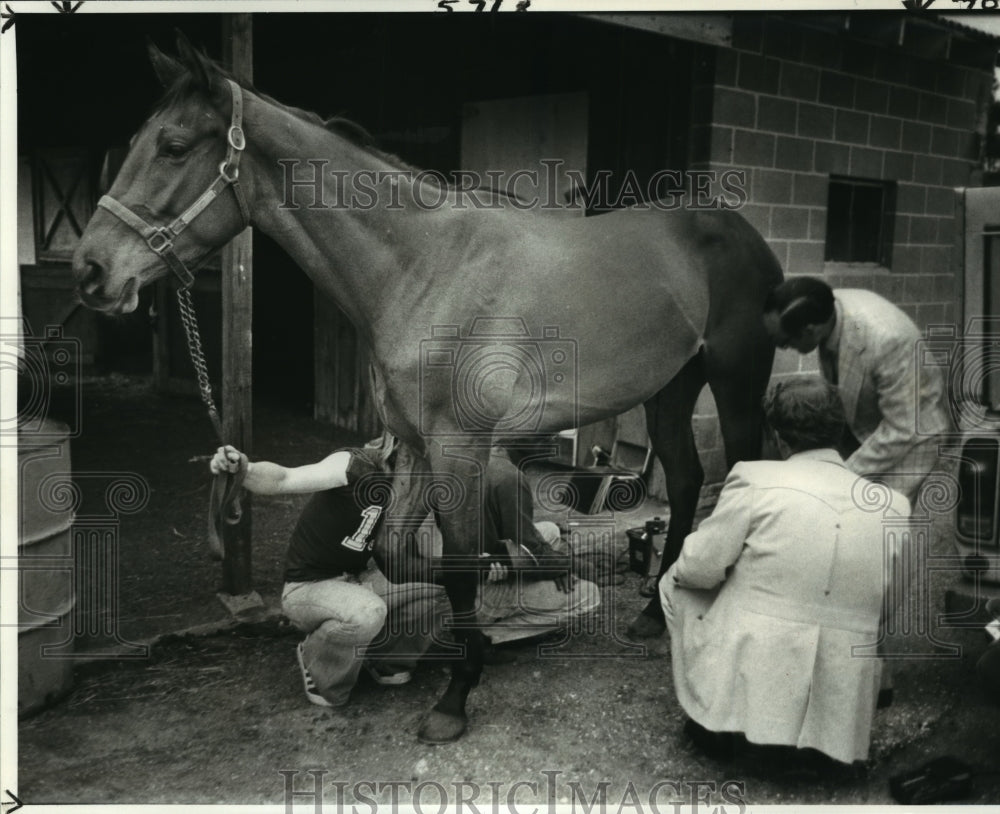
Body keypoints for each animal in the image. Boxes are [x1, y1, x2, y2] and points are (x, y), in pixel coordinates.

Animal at [74, 36, 784, 744]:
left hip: (736, 380)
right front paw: (503, 600)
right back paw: (650, 615)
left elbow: (461, 562)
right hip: (671, 387)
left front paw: (456, 697)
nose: (91, 270)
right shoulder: (416, 446)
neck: (425, 269)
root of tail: (746, 235)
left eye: (173, 145)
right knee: (687, 479)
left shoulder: (458, 448)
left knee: (741, 472)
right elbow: (402, 554)